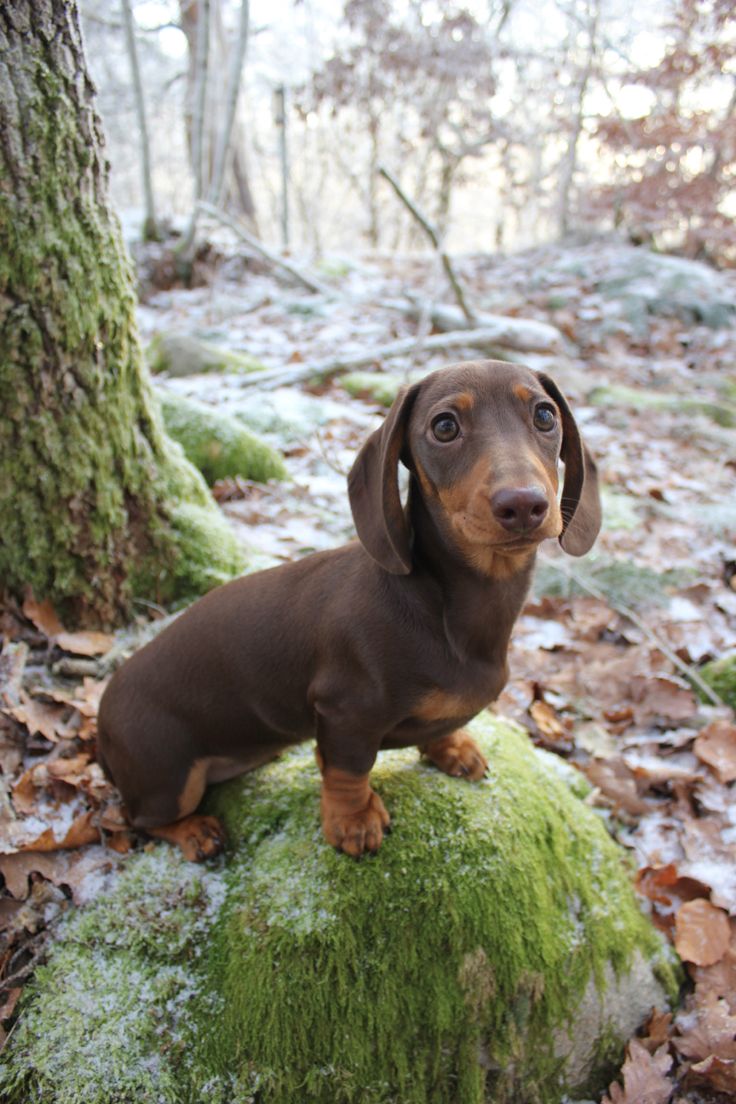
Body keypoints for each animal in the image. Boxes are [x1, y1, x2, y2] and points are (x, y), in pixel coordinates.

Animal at [96, 357, 600, 856]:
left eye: (545, 415)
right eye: (444, 426)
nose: (524, 505)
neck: (450, 605)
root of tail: (101, 717)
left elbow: (438, 728)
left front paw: (452, 748)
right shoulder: (346, 712)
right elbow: (348, 769)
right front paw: (353, 820)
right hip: (168, 778)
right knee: (137, 819)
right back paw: (193, 831)